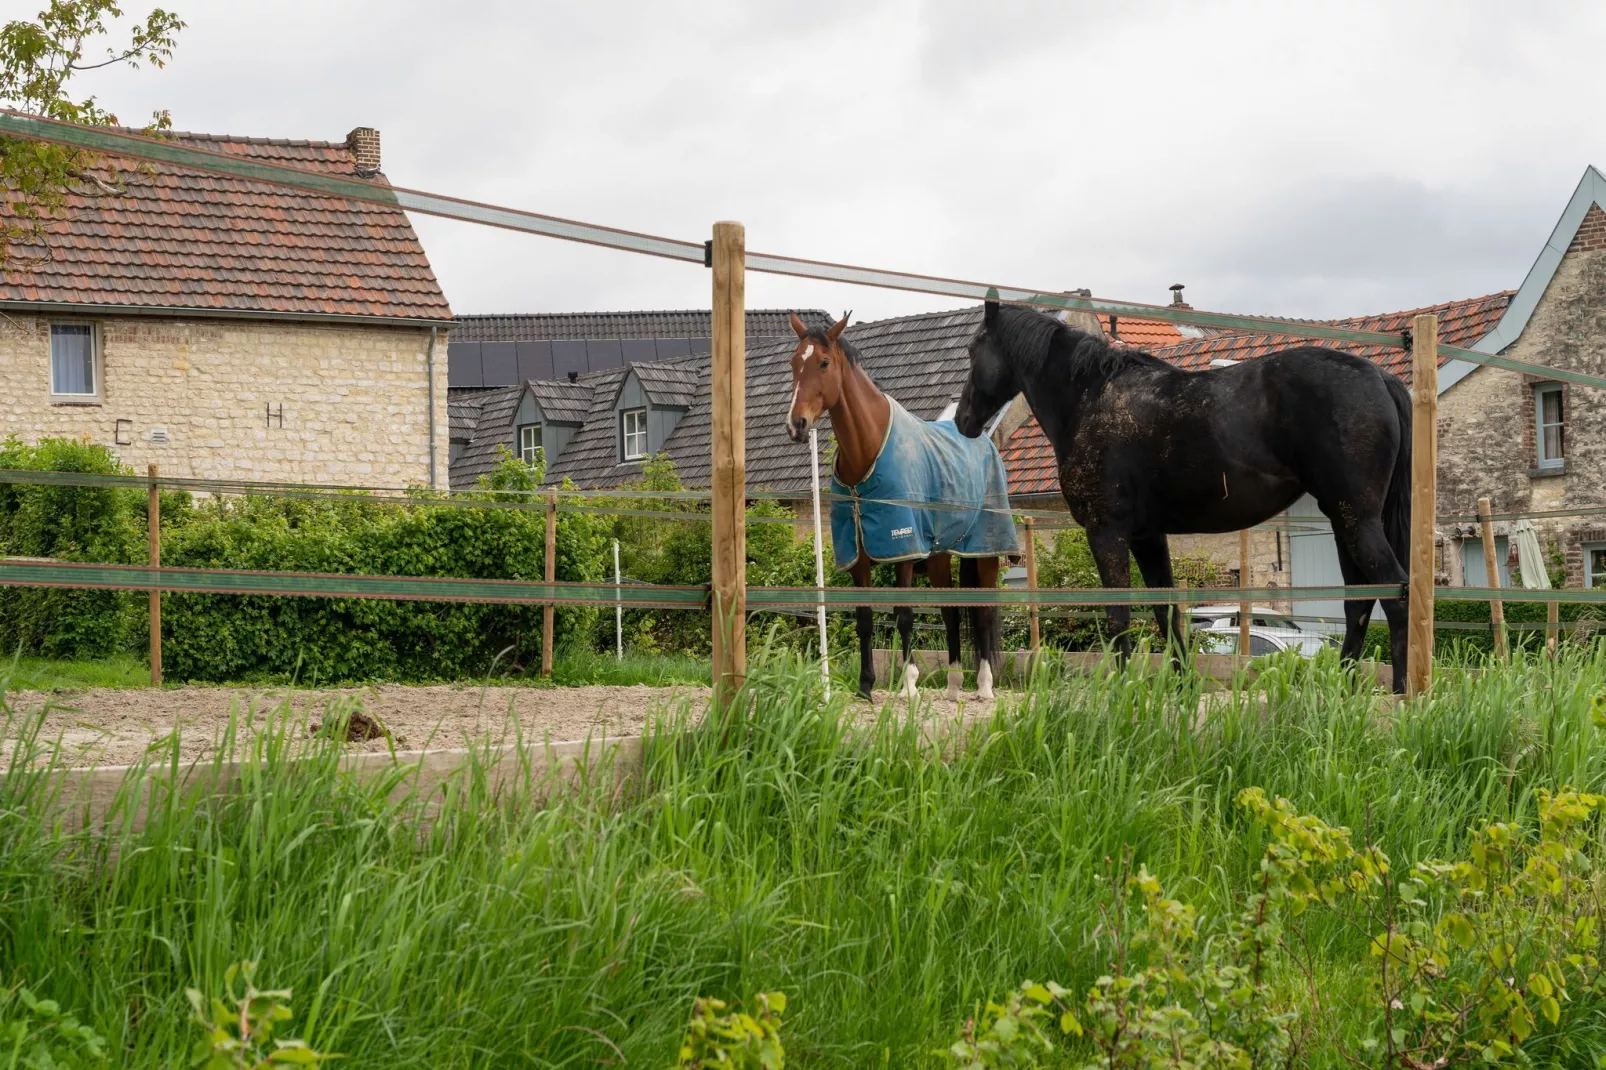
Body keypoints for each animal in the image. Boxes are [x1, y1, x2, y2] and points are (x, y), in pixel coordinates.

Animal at [786, 310, 1002, 700]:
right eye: (794, 362)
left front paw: (910, 683)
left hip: (985, 552)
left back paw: (984, 686)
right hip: (939, 556)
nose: (796, 424)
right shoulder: (859, 554)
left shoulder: (902, 549)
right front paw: (865, 686)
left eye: (824, 363)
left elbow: (903, 614)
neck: (867, 451)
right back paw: (953, 685)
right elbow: (865, 618)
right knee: (951, 612)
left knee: (984, 613)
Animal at [950, 300, 1406, 690]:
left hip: (1354, 519)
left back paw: (1403, 692)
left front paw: (1119, 689)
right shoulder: (1147, 536)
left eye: (973, 350)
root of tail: (1379, 377)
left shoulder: (1106, 532)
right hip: (1343, 520)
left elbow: (1119, 615)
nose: (963, 420)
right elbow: (1165, 610)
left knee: (1396, 592)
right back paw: (1342, 688)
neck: (1089, 399)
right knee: (1359, 602)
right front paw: (1183, 687)